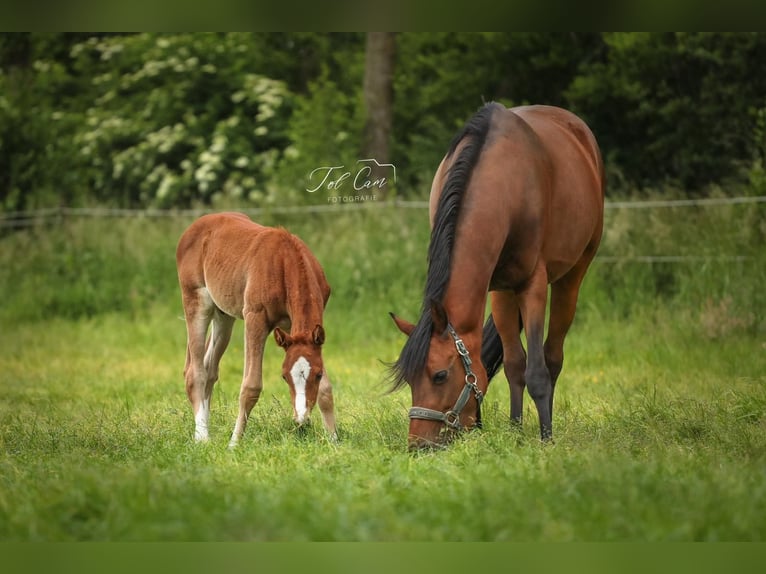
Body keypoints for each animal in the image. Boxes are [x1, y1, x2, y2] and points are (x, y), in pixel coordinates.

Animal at [176, 212, 337, 447]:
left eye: (317, 375)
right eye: (284, 377)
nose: (301, 419)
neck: (285, 261)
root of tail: (196, 225)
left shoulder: (303, 331)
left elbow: (325, 389)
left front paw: (334, 439)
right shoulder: (255, 318)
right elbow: (250, 386)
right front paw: (234, 443)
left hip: (223, 315)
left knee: (209, 368)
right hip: (197, 301)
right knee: (195, 372)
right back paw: (202, 437)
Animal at [389, 102, 605, 450]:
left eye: (440, 376)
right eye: (409, 379)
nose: (419, 445)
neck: (501, 184)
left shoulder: (531, 285)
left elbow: (536, 371)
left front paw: (545, 439)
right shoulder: (499, 289)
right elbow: (515, 364)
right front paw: (514, 431)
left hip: (572, 275)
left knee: (553, 356)